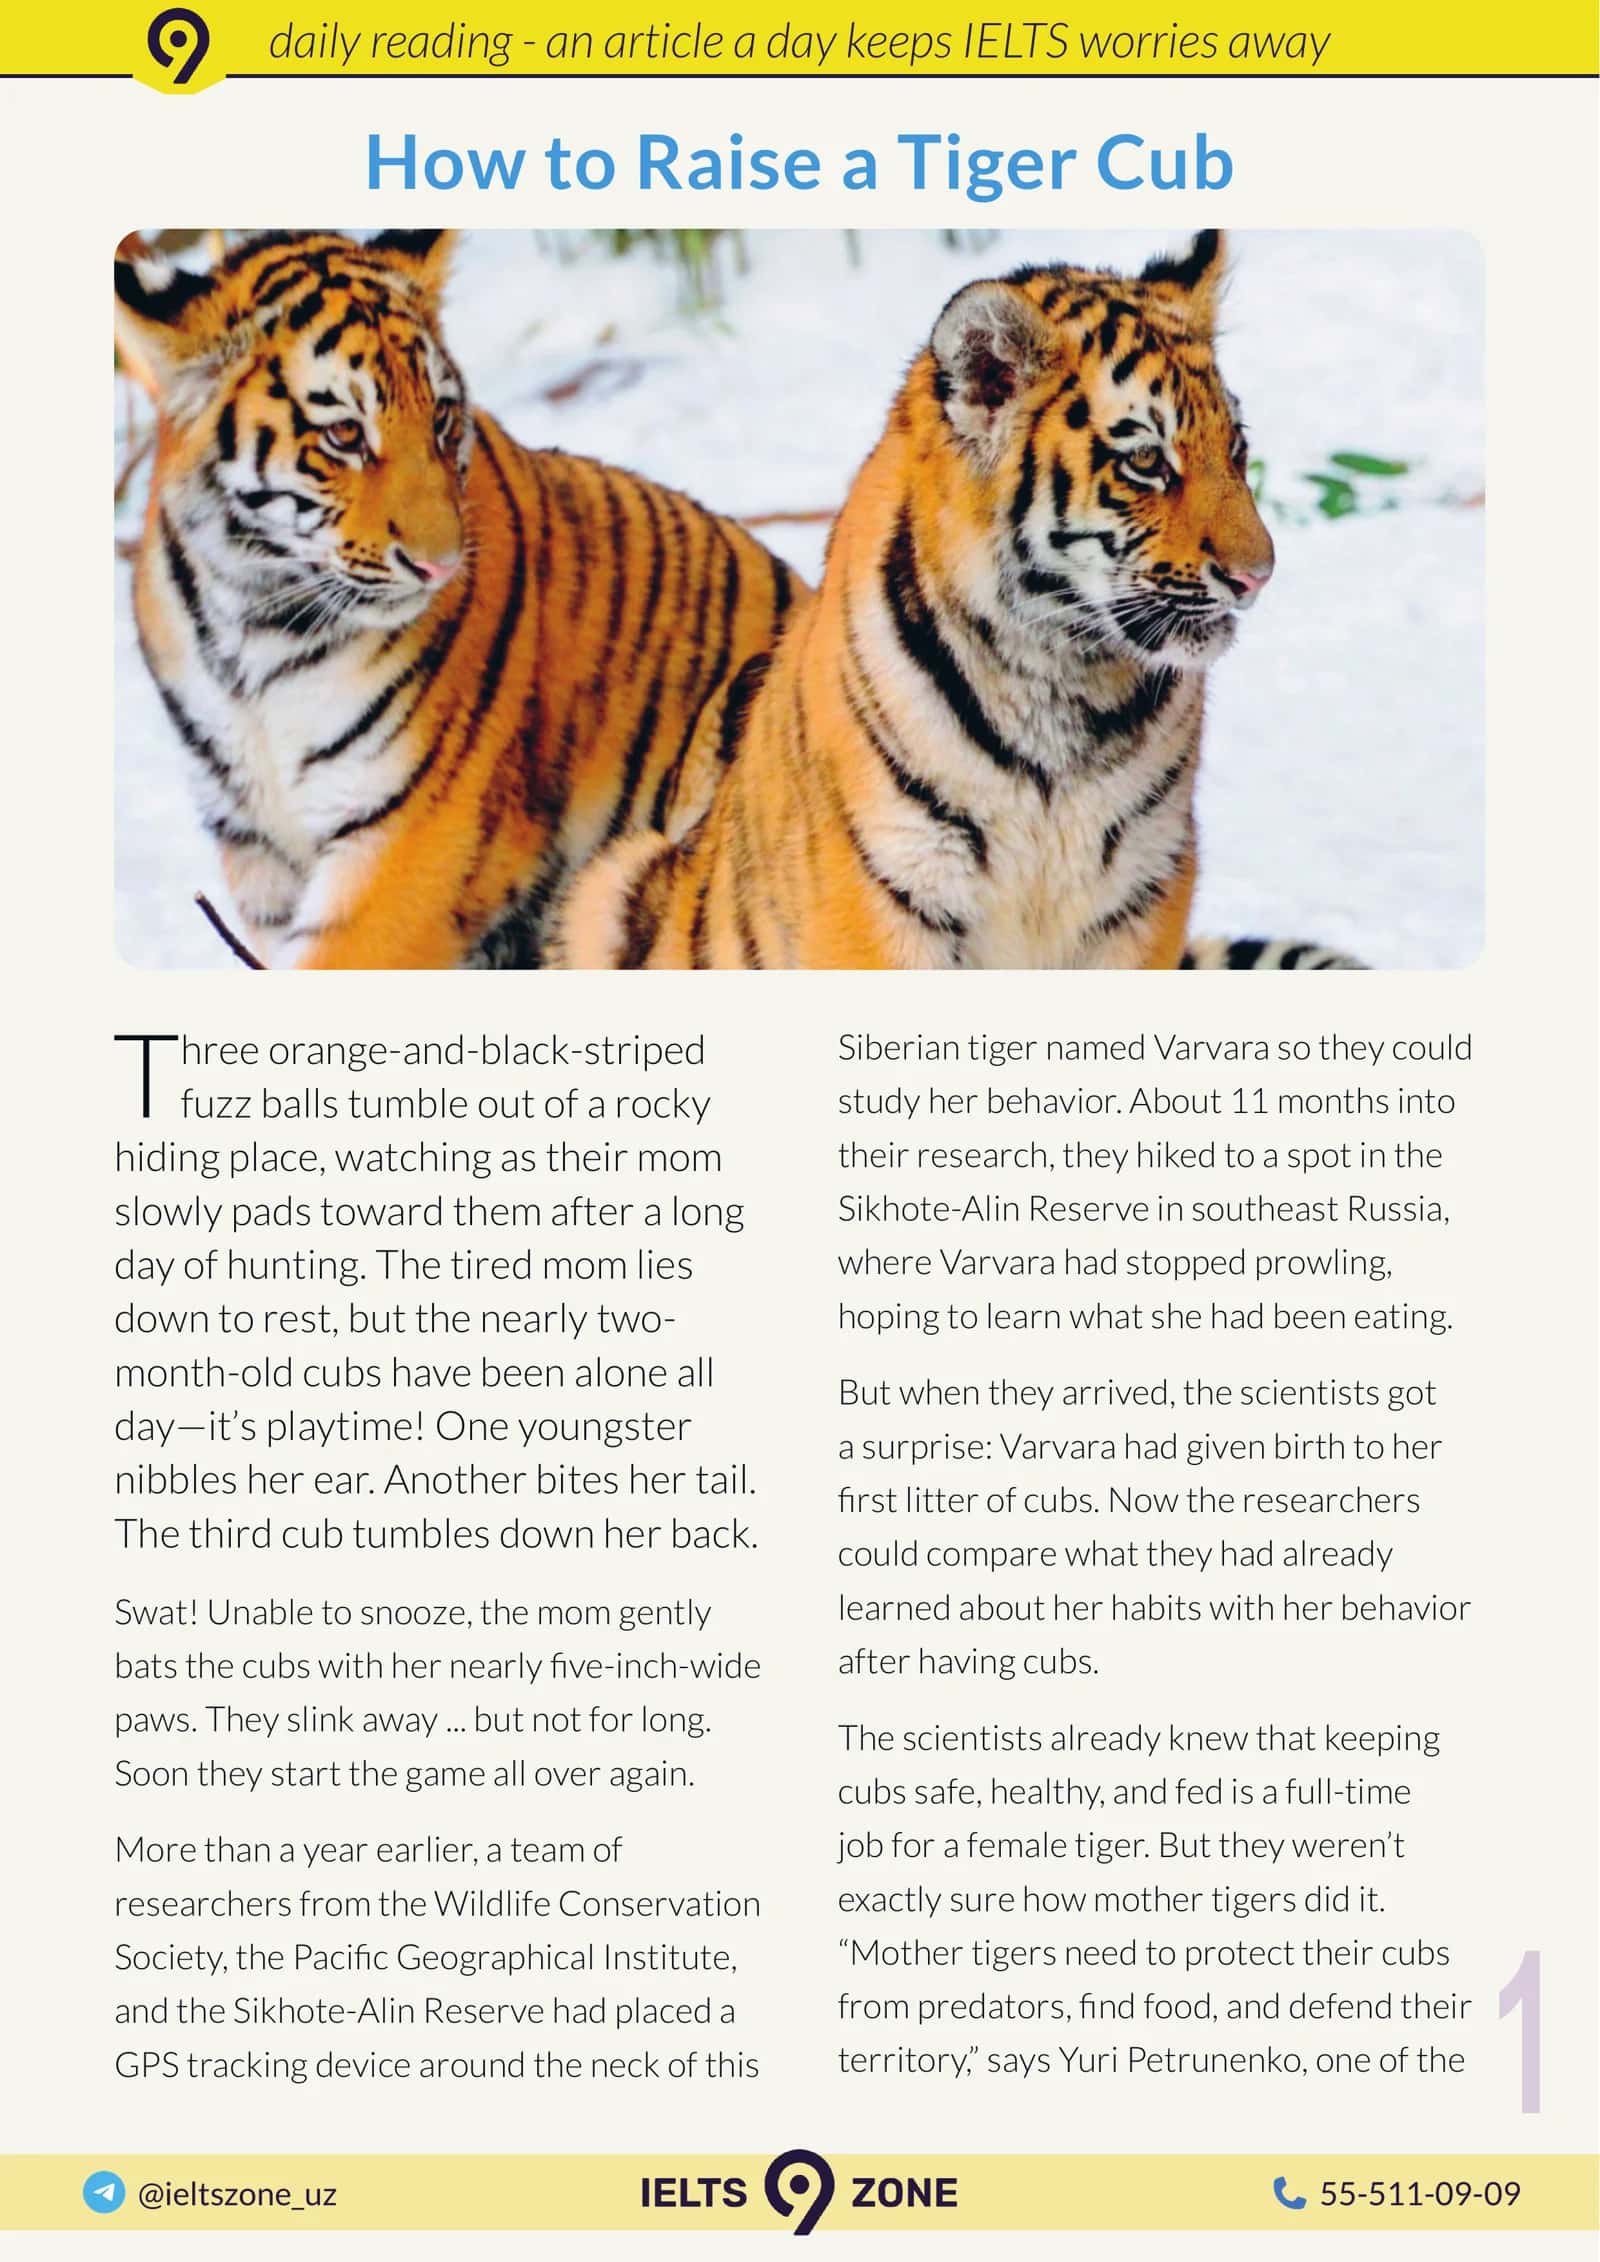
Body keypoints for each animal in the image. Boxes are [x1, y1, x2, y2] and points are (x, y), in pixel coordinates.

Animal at [115, 228, 800, 969]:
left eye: (440, 418)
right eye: (344, 434)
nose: (438, 567)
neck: (255, 616)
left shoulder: (411, 842)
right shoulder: (255, 843)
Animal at [548, 231, 1363, 972]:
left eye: (1237, 448)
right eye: (1145, 461)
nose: (1258, 575)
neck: (1061, 689)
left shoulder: (1141, 893)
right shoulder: (880, 898)